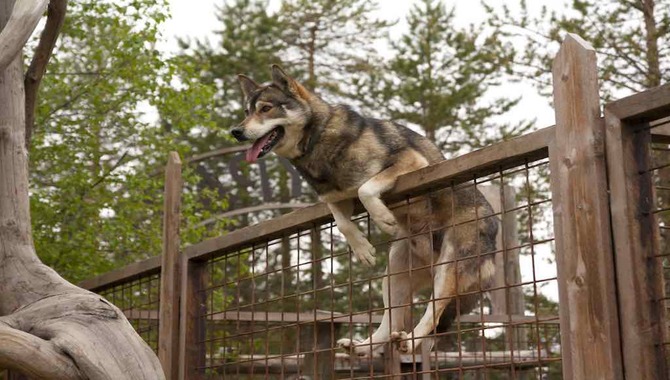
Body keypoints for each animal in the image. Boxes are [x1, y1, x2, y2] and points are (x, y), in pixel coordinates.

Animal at [231, 64, 498, 354]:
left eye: (266, 108)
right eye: (246, 111)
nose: (235, 132)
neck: (318, 141)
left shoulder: (412, 162)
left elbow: (366, 189)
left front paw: (383, 219)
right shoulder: (334, 198)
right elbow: (341, 221)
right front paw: (362, 249)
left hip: (448, 268)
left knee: (432, 314)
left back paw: (409, 341)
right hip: (394, 275)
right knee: (390, 322)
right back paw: (360, 347)